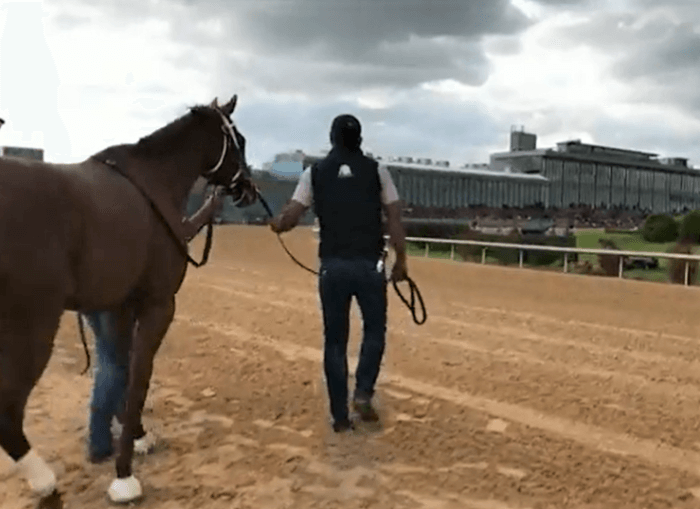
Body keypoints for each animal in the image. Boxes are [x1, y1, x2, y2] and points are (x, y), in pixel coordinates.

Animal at [0, 93, 258, 502]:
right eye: (240, 141)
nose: (247, 187)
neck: (153, 180)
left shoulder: (118, 307)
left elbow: (120, 373)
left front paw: (136, 437)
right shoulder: (159, 305)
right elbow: (138, 380)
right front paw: (124, 476)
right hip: (32, 328)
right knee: (8, 411)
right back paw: (45, 483)